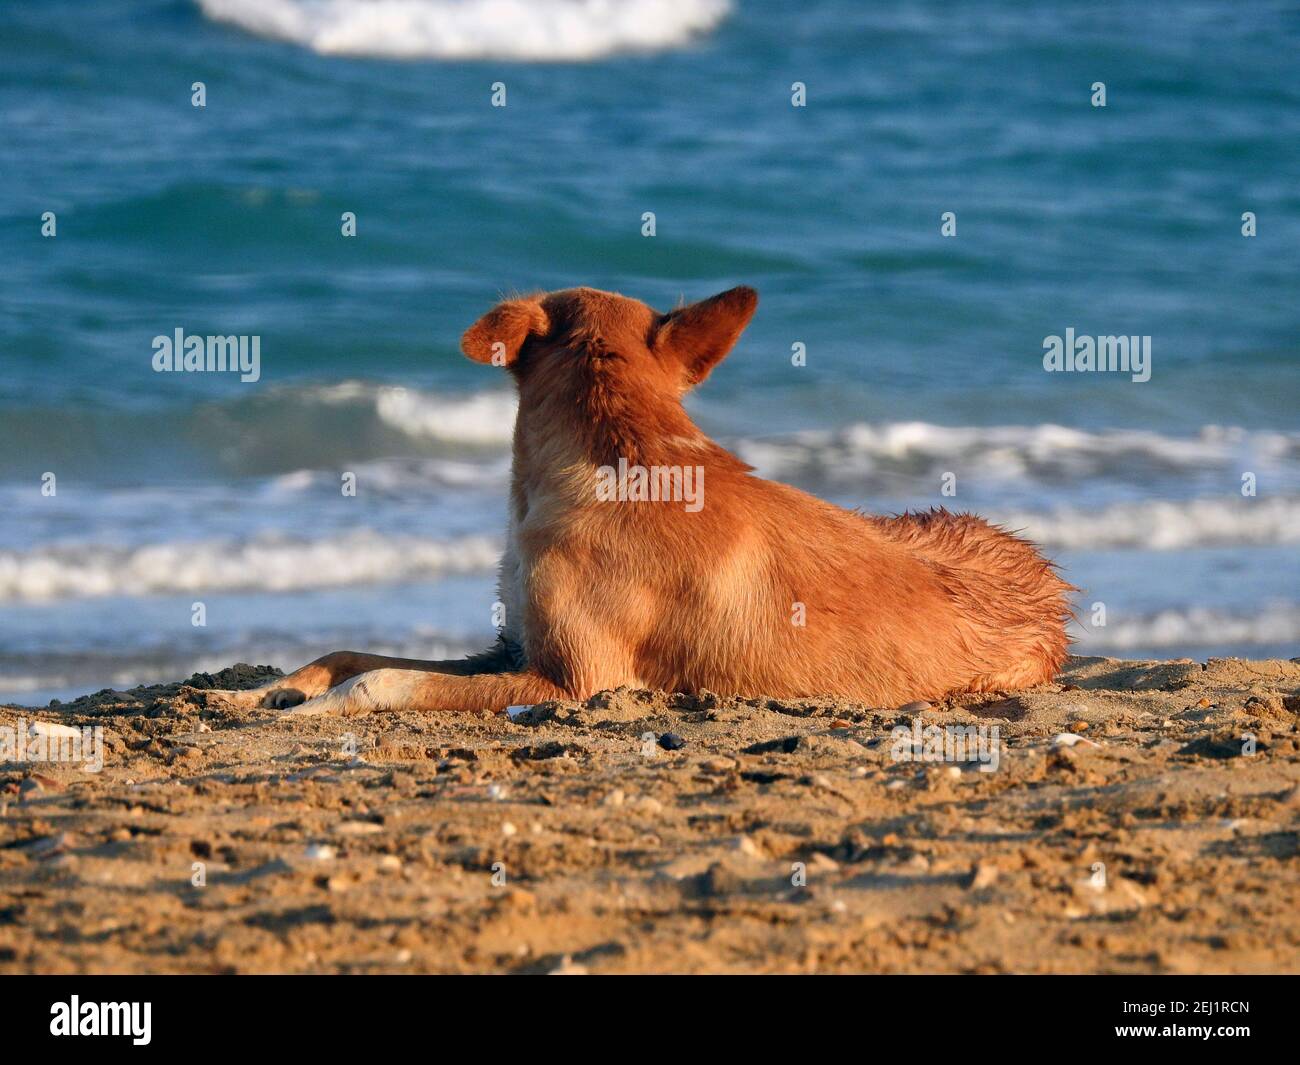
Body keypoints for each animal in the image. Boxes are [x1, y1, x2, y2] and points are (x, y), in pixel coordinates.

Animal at [210, 283, 1066, 717]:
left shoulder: (570, 681)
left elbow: (385, 680)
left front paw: (320, 706)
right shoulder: (510, 647)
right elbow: (349, 653)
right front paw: (269, 685)